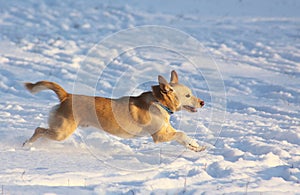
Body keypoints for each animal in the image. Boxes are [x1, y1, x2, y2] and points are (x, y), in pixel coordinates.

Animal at [24, 71, 206, 152]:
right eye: (188, 95)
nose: (203, 102)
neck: (159, 102)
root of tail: (67, 96)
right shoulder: (159, 136)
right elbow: (181, 134)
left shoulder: (167, 130)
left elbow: (183, 137)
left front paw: (196, 146)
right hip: (61, 132)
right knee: (38, 130)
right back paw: (27, 144)